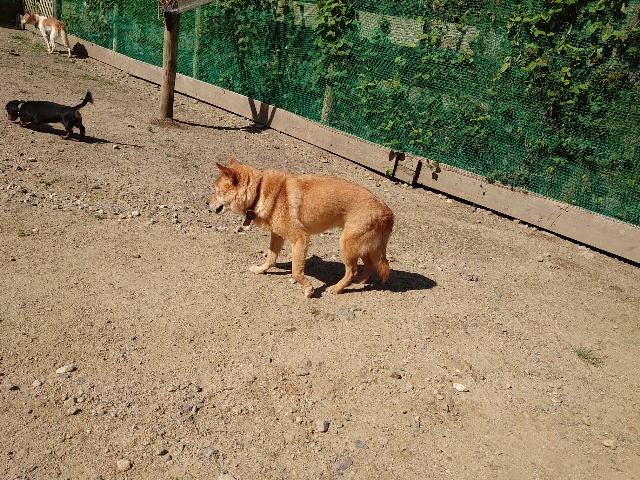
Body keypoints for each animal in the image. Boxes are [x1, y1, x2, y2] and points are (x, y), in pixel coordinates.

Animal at [209, 159, 394, 297]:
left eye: (217, 192)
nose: (206, 204)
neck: (259, 191)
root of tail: (388, 211)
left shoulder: (300, 238)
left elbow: (296, 272)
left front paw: (309, 289)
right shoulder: (277, 236)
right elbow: (270, 258)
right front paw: (261, 270)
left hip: (347, 244)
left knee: (352, 271)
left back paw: (337, 288)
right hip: (362, 246)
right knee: (369, 265)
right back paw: (360, 282)